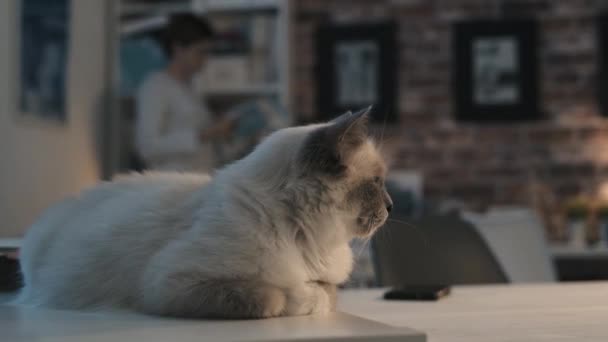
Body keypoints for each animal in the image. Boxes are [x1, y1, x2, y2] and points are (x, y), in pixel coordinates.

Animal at [17, 109, 394, 318]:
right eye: (377, 182)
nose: (391, 206)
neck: (303, 235)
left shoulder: (327, 280)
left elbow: (328, 293)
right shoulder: (171, 282)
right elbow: (275, 297)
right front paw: (300, 297)